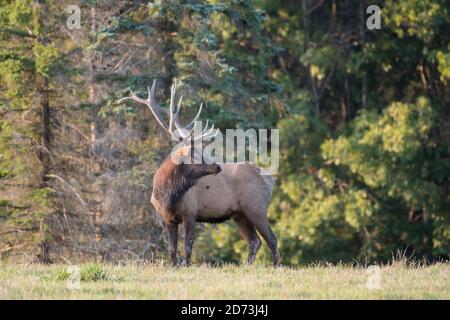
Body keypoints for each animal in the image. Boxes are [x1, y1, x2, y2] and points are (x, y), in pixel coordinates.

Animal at [121, 80, 280, 268]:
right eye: (195, 155)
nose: (217, 167)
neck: (167, 195)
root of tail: (270, 180)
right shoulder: (167, 218)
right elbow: (172, 249)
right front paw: (174, 266)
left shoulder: (190, 212)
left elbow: (188, 246)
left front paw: (187, 266)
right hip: (239, 214)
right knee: (255, 240)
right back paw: (247, 265)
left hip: (256, 207)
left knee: (271, 238)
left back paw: (277, 266)